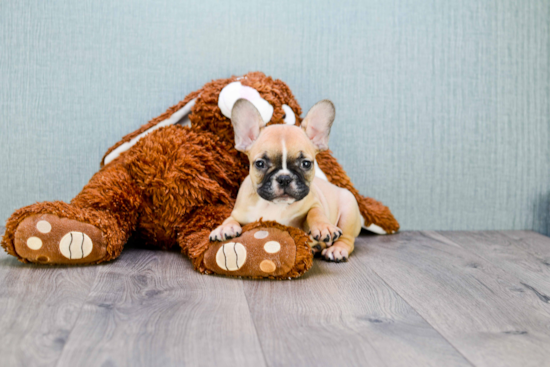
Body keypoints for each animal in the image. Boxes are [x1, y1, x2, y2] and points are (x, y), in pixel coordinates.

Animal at [210, 99, 362, 264]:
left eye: (306, 164)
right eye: (260, 164)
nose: (284, 178)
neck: (274, 206)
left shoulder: (314, 203)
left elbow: (315, 212)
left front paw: (323, 226)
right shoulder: (239, 213)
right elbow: (230, 219)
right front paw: (224, 228)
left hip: (349, 209)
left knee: (347, 240)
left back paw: (336, 249)